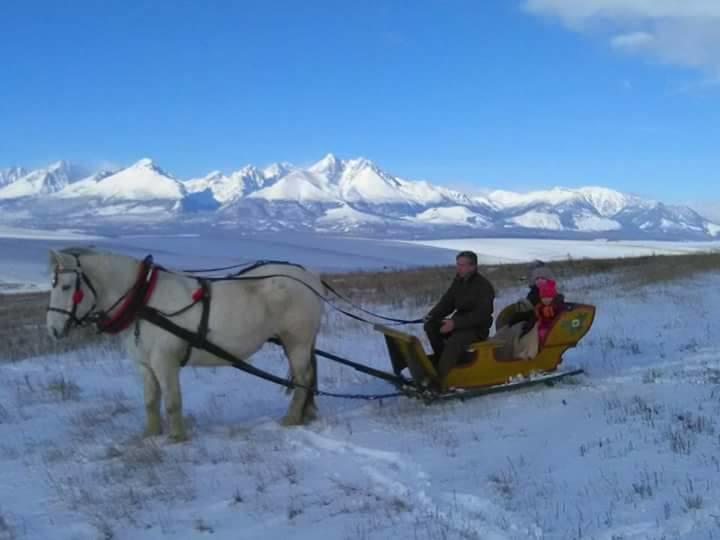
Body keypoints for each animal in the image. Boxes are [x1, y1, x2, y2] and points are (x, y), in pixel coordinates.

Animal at [47, 247, 324, 440]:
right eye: (53, 285)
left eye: (67, 286)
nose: (52, 330)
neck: (143, 301)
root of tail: (309, 276)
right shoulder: (145, 365)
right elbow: (150, 402)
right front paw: (150, 435)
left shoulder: (165, 361)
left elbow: (172, 402)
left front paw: (176, 438)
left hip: (297, 340)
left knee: (303, 378)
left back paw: (290, 419)